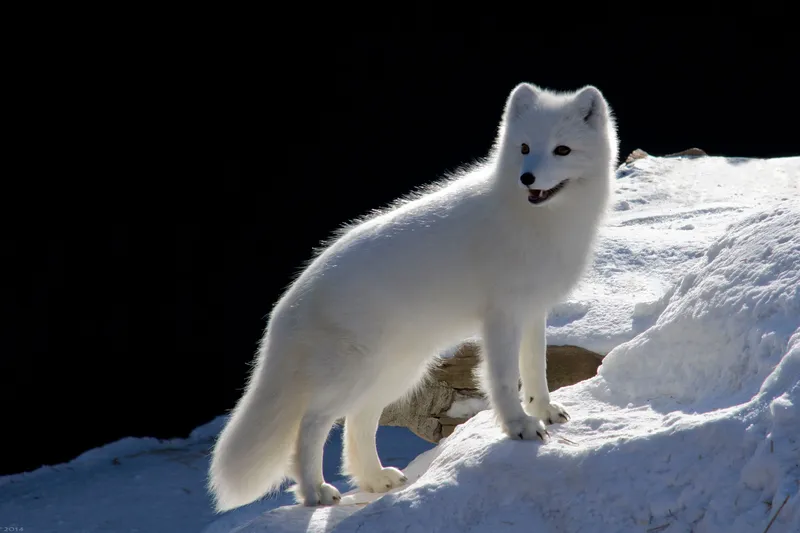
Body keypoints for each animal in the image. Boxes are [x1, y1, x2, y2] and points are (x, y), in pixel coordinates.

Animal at [206, 81, 620, 510]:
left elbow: (536, 369)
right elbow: (505, 379)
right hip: (355, 374)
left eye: (562, 150)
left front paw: (545, 411)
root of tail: (287, 303)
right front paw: (518, 427)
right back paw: (315, 491)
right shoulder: (502, 315)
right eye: (523, 147)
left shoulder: (534, 310)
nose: (527, 178)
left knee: (357, 421)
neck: (539, 221)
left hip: (396, 373)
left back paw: (375, 479)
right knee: (312, 422)